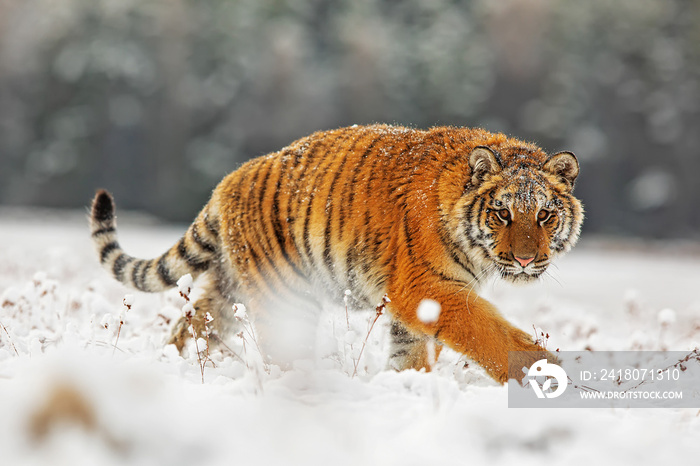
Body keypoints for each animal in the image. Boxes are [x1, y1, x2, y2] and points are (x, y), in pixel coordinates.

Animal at [93, 123, 584, 382]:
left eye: (544, 215)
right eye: (502, 213)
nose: (524, 260)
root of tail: (229, 180)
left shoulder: (417, 304)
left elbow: (412, 355)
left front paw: (408, 388)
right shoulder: (428, 289)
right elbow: (495, 337)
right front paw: (554, 379)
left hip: (229, 291)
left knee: (189, 327)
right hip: (284, 296)